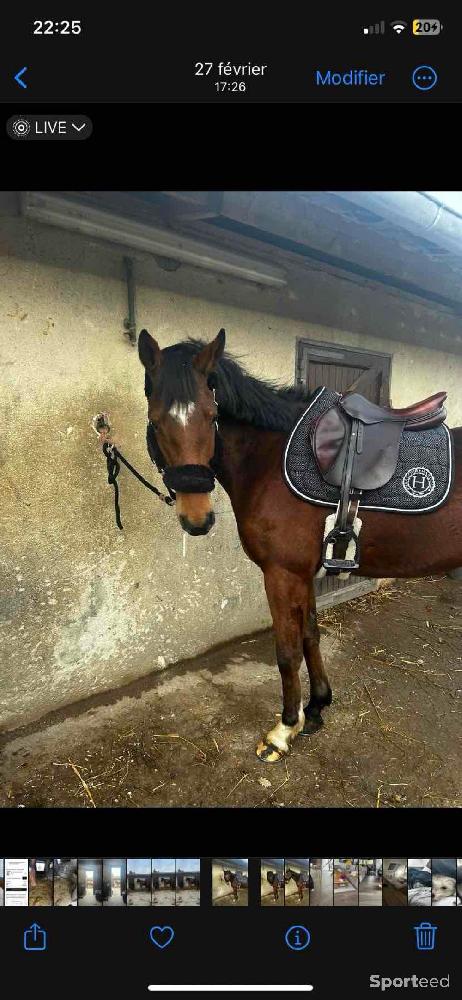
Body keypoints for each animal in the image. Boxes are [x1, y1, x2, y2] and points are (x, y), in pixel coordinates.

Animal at [137, 324, 462, 760]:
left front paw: (284, 728)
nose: (197, 517)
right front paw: (318, 707)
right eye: (156, 420)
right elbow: (310, 634)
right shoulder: (304, 572)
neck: (270, 460)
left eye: (212, 416)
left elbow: (287, 652)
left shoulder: (281, 574)